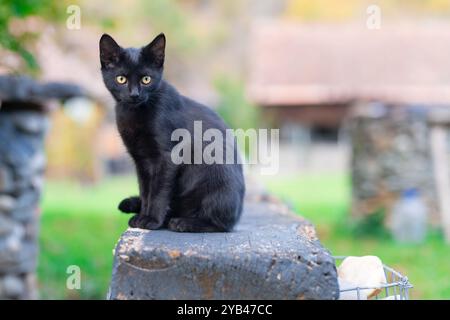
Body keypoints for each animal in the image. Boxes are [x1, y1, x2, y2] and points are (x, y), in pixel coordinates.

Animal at [99, 33, 246, 232]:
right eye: (121, 79)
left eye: (146, 79)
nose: (134, 94)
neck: (134, 113)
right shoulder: (141, 160)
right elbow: (145, 191)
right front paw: (142, 215)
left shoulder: (168, 157)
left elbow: (158, 192)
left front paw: (151, 220)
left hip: (219, 179)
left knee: (221, 224)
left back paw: (183, 222)